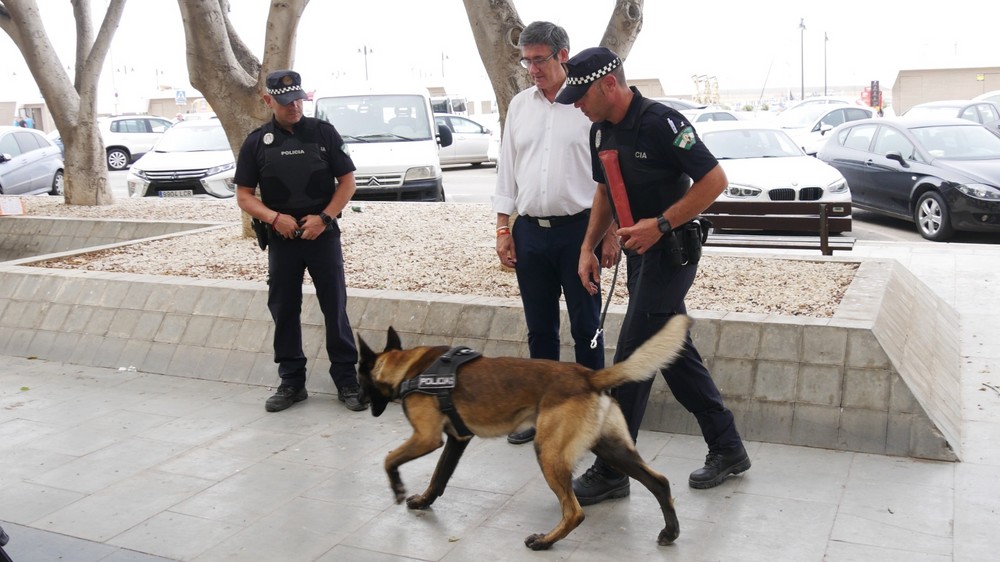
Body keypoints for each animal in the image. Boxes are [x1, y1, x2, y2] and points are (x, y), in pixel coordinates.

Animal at [235, 70, 368, 412]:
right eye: (286, 100)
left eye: (298, 97)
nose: (297, 105)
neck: (289, 128)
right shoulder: (247, 155)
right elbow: (244, 191)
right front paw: (283, 221)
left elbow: (346, 178)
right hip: (283, 269)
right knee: (283, 308)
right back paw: (289, 388)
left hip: (326, 264)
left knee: (334, 303)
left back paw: (350, 389)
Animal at [356, 312, 692, 548]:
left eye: (359, 377)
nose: (355, 400)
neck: (409, 367)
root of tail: (589, 375)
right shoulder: (457, 439)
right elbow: (439, 477)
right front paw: (424, 502)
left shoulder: (426, 438)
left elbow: (389, 459)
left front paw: (398, 489)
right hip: (611, 449)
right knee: (659, 482)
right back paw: (671, 531)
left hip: (549, 453)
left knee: (574, 512)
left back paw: (544, 542)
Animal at [556, 49, 752, 504]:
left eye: (581, 90)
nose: (574, 106)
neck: (621, 119)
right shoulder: (599, 161)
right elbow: (601, 192)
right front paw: (586, 262)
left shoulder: (672, 129)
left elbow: (713, 177)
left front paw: (607, 474)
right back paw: (727, 453)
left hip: (662, 280)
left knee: (647, 324)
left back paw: (723, 458)